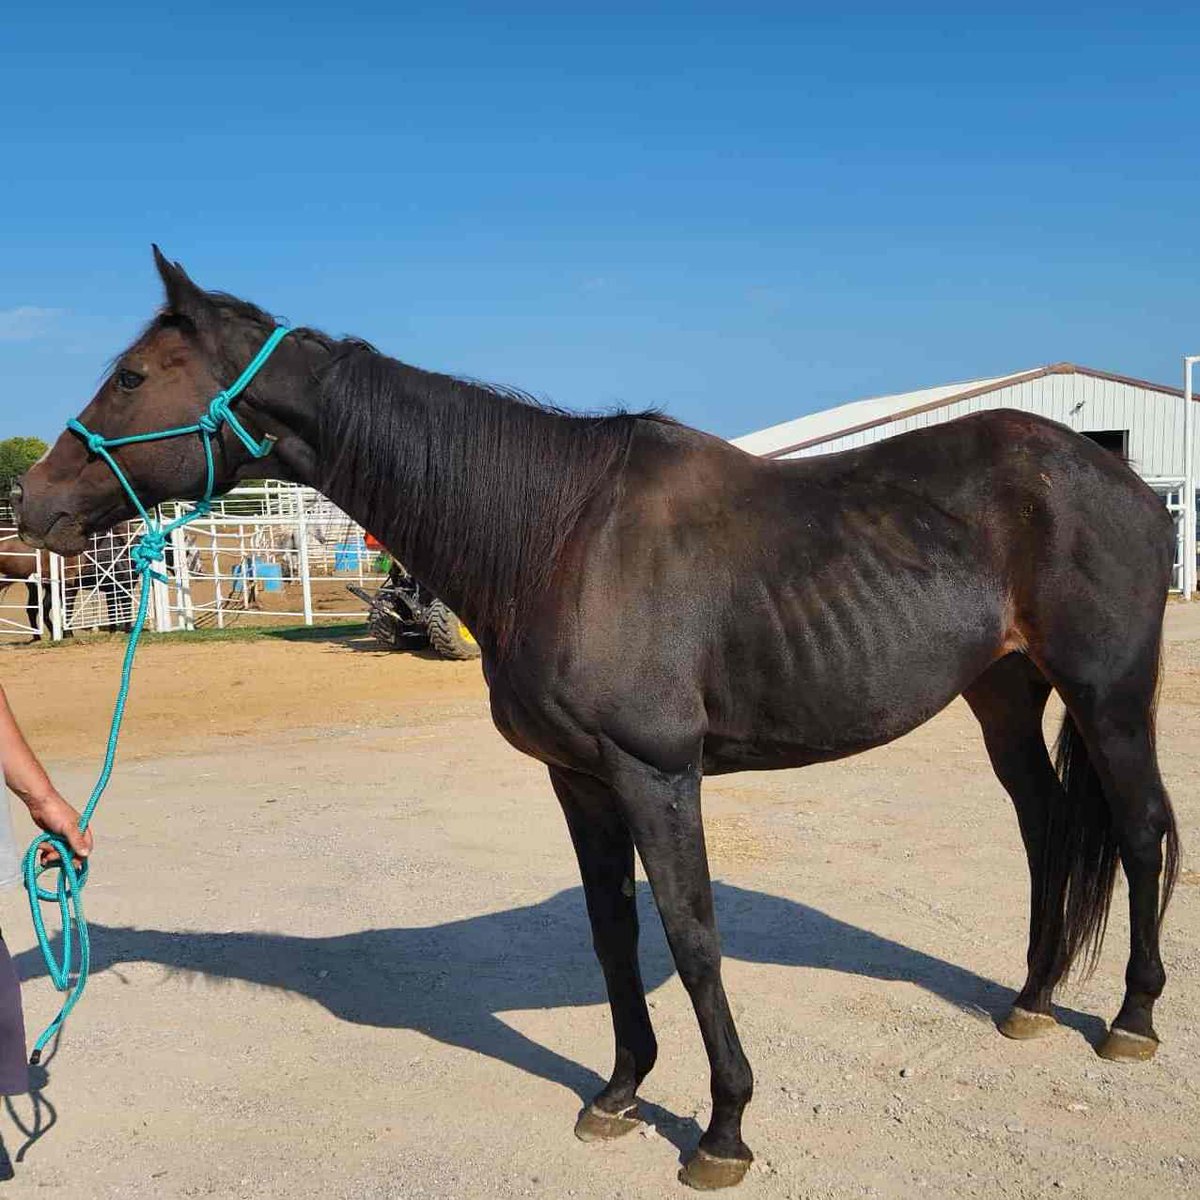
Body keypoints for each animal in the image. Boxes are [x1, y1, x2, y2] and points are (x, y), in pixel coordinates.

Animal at [11, 249, 1181, 1190]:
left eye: (130, 376)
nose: (33, 503)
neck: (553, 532)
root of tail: (1116, 472)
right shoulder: (577, 779)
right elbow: (613, 935)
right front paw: (620, 1092)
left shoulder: (654, 773)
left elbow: (694, 938)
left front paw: (722, 1130)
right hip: (1003, 695)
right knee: (1046, 828)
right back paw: (1031, 1000)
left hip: (1110, 700)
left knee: (1137, 832)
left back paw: (1130, 1020)